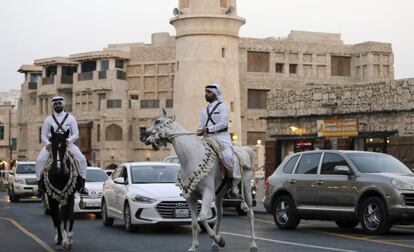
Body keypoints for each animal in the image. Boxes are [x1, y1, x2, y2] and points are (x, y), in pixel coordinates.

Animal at [141, 112, 258, 252]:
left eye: (157, 121)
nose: (142, 135)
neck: (190, 158)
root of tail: (245, 150)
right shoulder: (190, 197)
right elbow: (194, 223)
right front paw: (194, 246)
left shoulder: (208, 193)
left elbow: (202, 217)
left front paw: (220, 240)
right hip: (220, 193)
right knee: (220, 215)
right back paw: (215, 245)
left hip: (246, 188)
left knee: (250, 213)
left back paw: (253, 244)